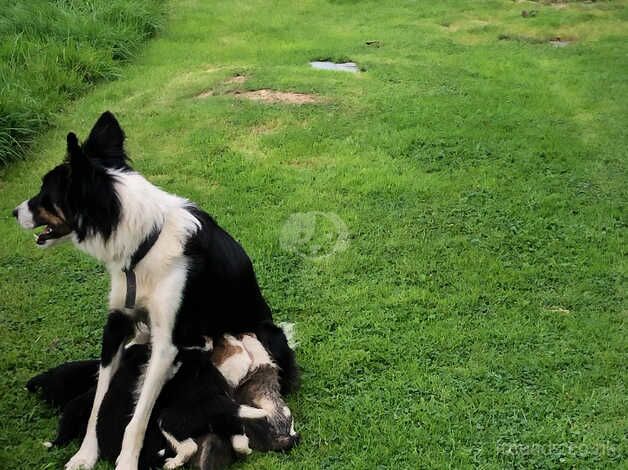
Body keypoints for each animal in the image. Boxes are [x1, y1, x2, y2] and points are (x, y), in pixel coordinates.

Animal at [12, 111, 300, 470]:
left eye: (45, 193)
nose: (13, 212)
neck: (143, 245)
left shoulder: (166, 342)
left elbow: (138, 418)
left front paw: (125, 462)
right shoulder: (117, 324)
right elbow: (98, 400)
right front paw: (85, 454)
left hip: (265, 334)